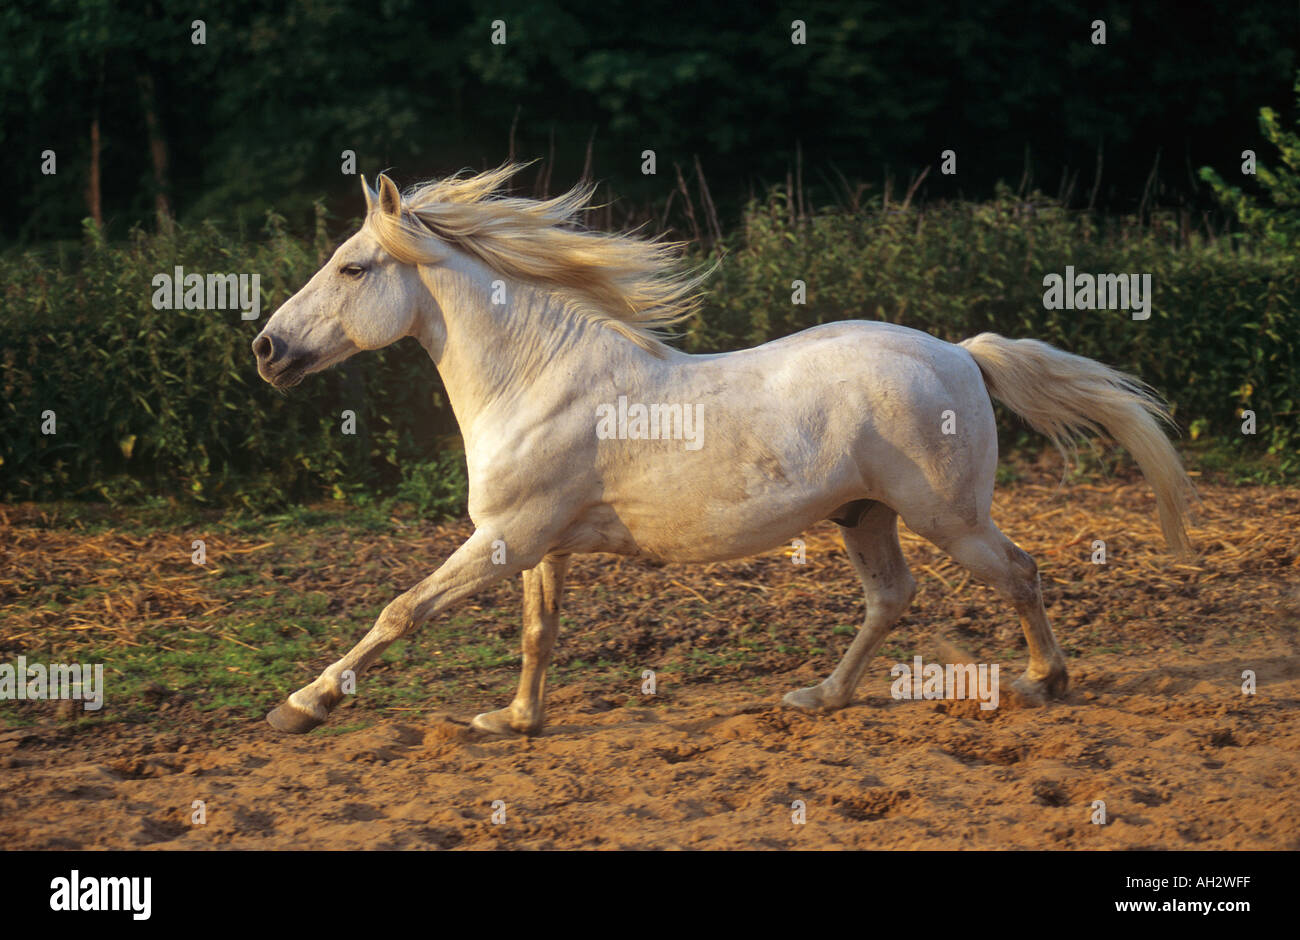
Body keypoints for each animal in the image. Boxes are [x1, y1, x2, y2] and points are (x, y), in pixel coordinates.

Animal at [248, 165, 1190, 733]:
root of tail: (960, 352)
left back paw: (1042, 682)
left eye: (354, 268)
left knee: (1019, 574)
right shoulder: (538, 546)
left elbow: (401, 611)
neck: (536, 379)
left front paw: (300, 704)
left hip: (947, 518)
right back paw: (819, 695)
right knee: (892, 597)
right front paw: (516, 721)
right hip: (864, 516)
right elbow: (539, 633)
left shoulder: (504, 537)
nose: (266, 350)